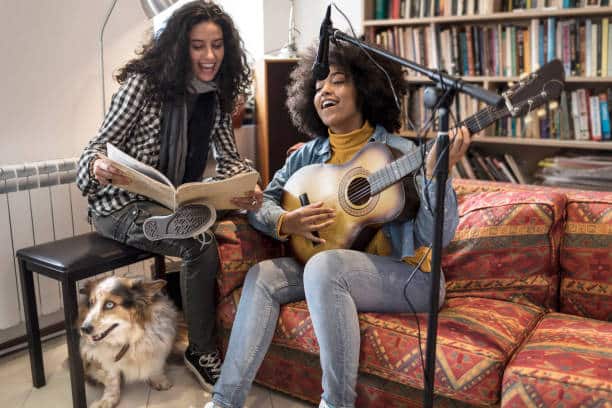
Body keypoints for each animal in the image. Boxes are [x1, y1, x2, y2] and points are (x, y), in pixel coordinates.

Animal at [78, 278, 182, 408]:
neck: (129, 338)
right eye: (91, 303)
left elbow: (155, 365)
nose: (84, 329)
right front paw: (108, 400)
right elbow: (112, 379)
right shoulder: (107, 359)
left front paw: (159, 380)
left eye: (109, 304)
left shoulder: (157, 345)